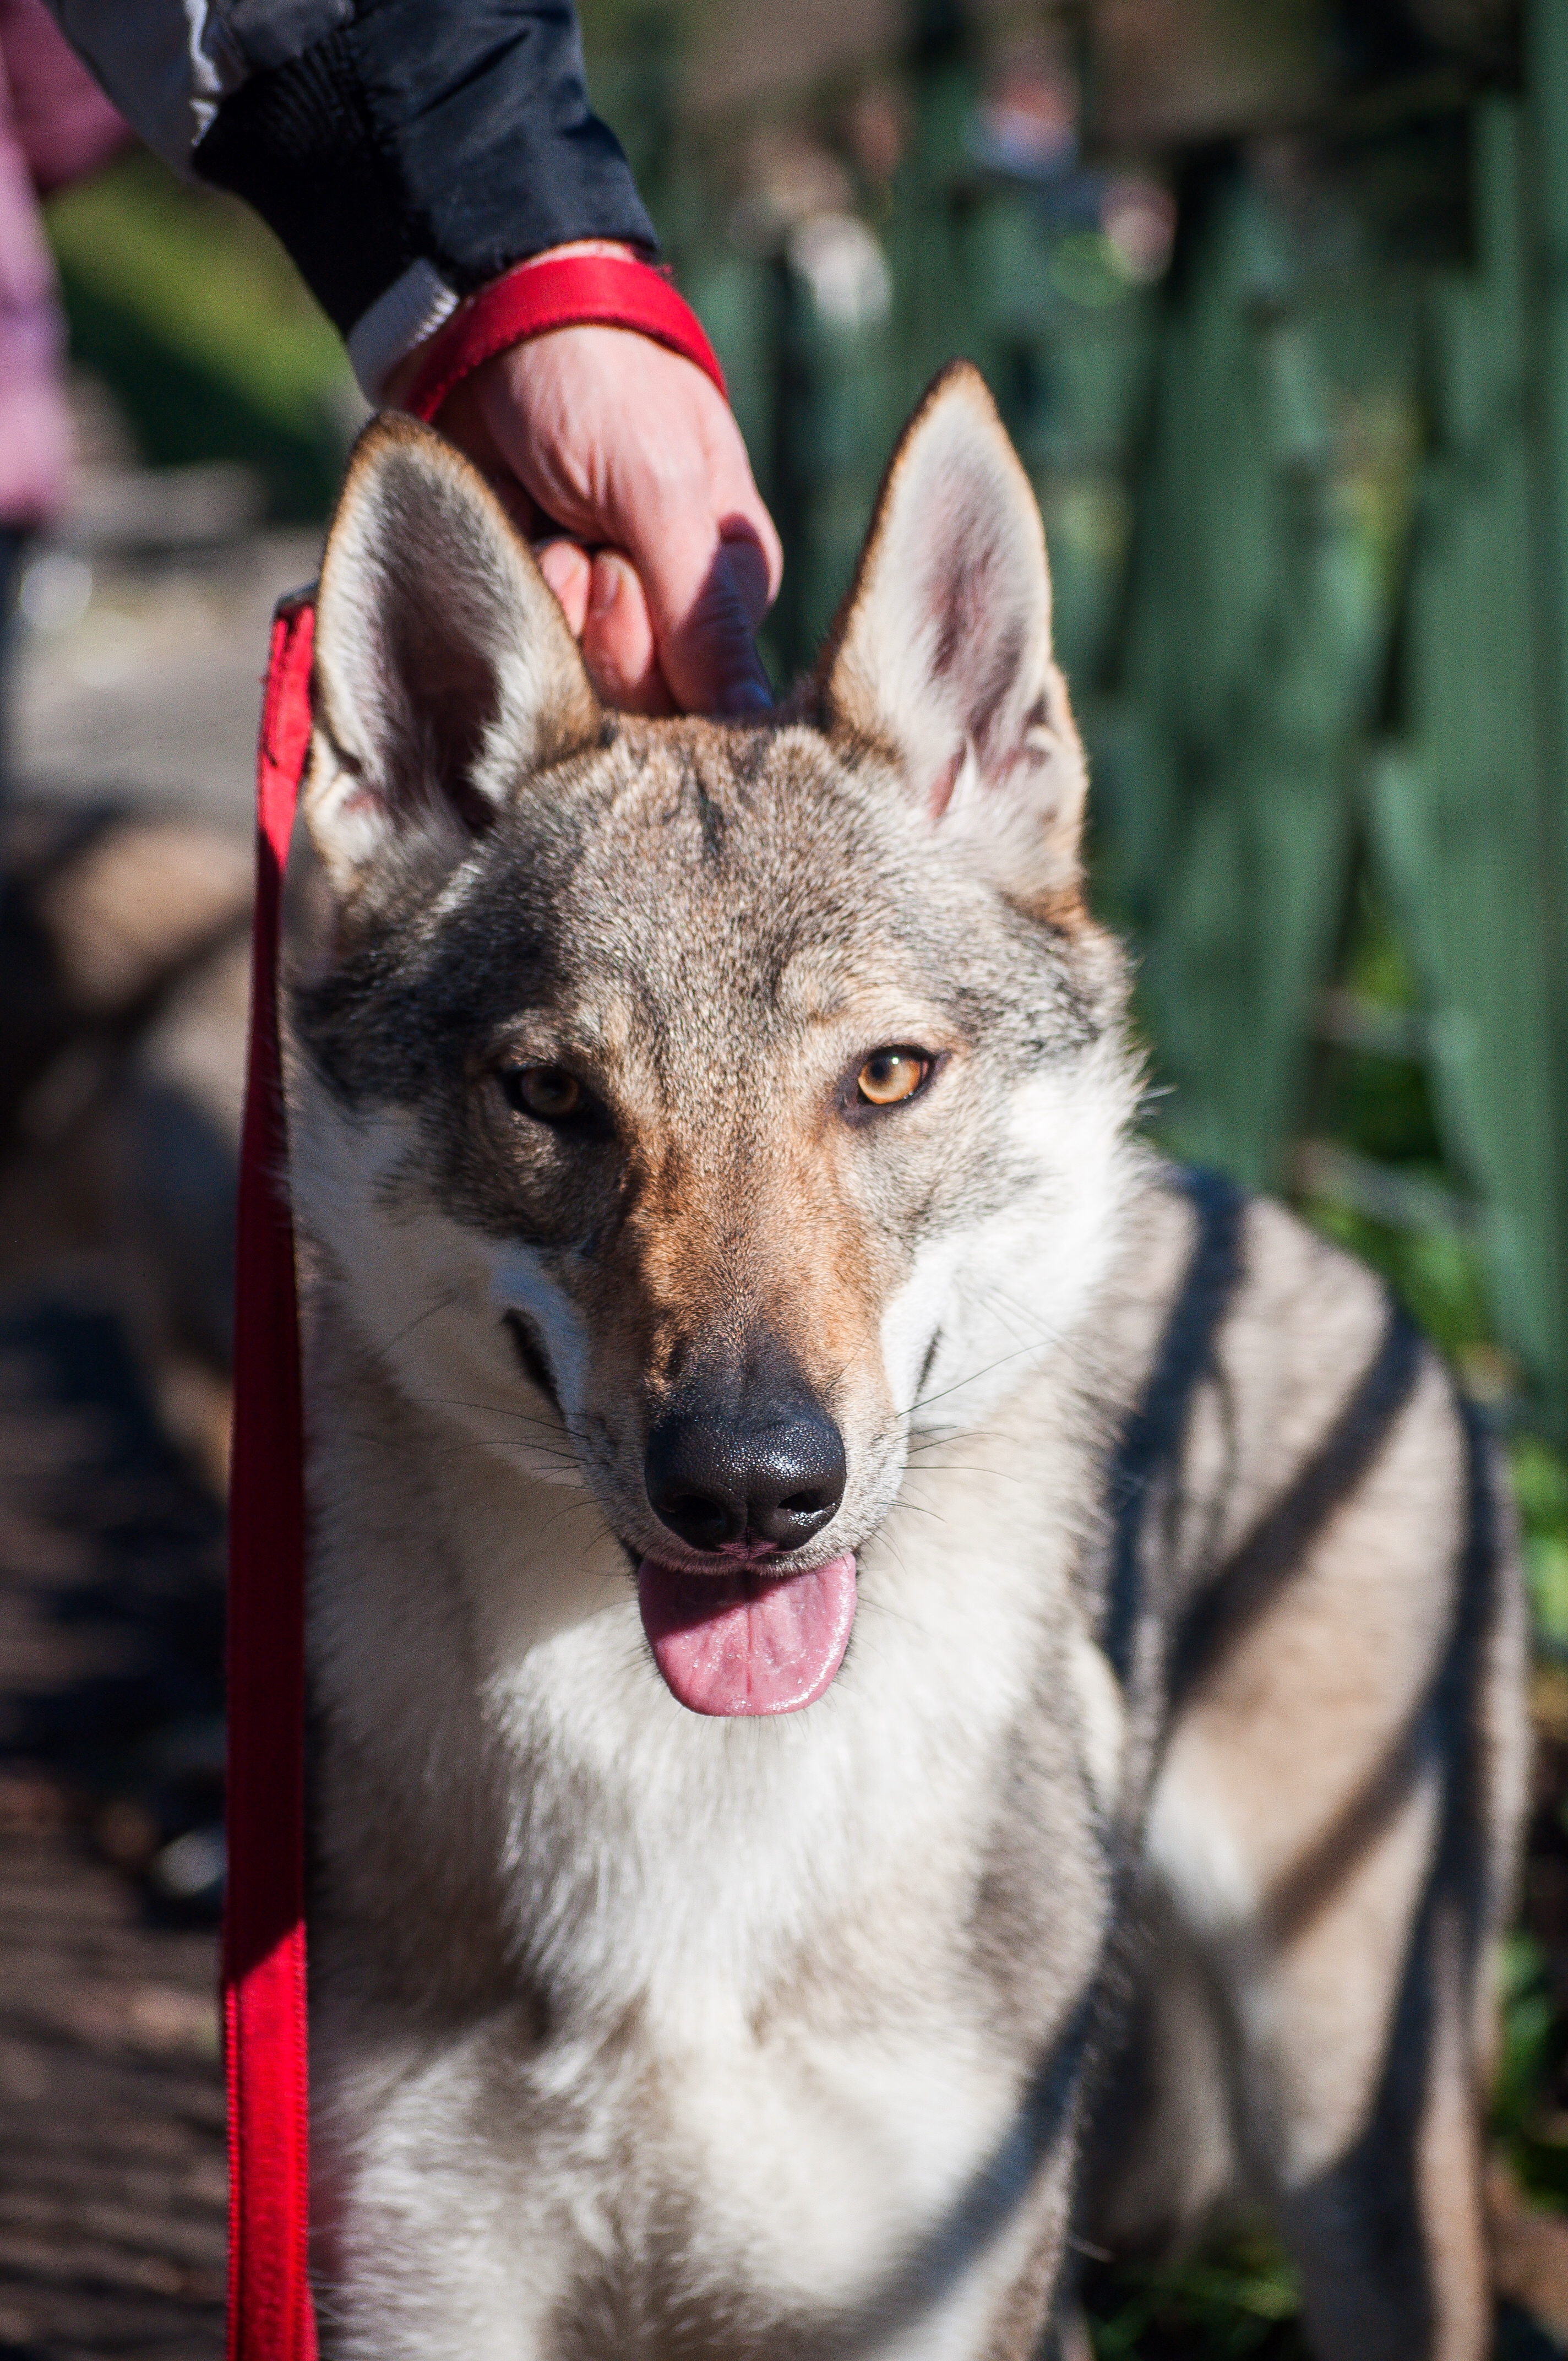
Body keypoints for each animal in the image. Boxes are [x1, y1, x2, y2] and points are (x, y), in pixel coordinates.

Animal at [285, 363, 1527, 2361]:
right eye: (552, 1095)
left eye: (880, 1076)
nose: (748, 1485)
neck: (693, 1817)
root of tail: (1310, 1231)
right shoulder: (416, 2290)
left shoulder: (937, 2293)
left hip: (1356, 2136)